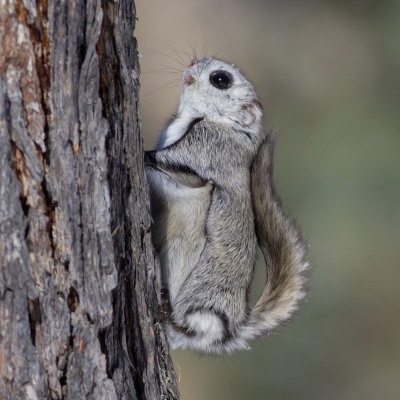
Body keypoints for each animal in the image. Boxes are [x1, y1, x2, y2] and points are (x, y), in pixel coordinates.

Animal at [145, 57, 310, 354]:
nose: (192, 62)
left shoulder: (207, 148)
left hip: (195, 285)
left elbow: (163, 163)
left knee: (183, 322)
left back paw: (166, 310)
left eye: (221, 79)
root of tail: (229, 330)